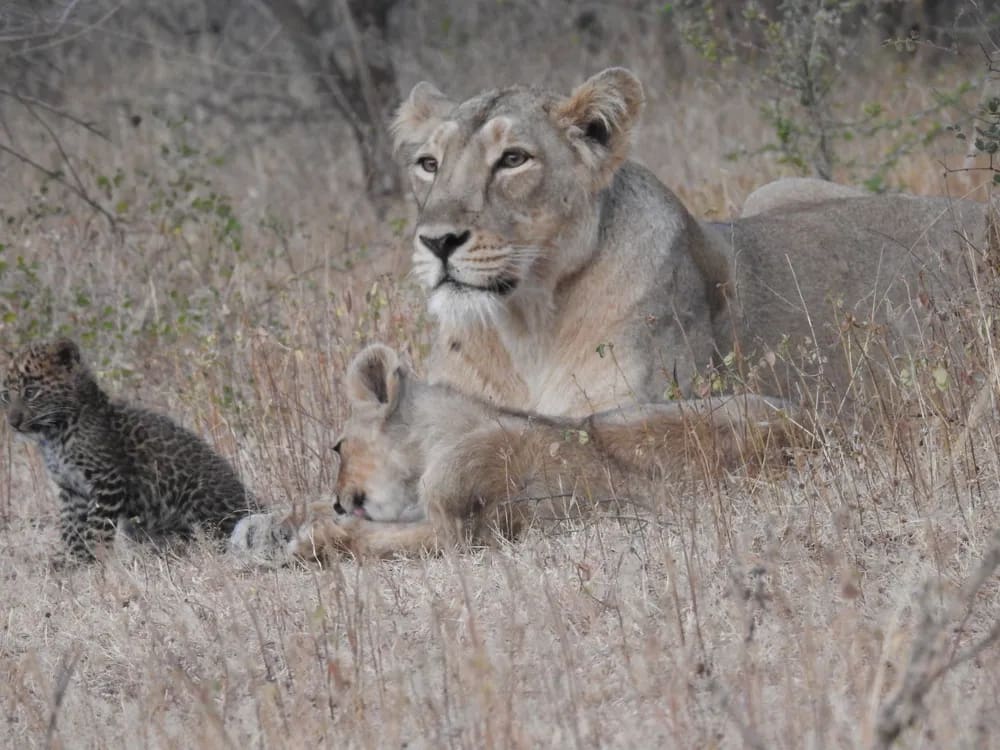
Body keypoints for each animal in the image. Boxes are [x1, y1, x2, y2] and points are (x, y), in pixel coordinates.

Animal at [229, 344, 797, 561]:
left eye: (338, 446)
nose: (341, 497)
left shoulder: (462, 531)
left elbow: (369, 539)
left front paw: (314, 539)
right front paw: (261, 527)